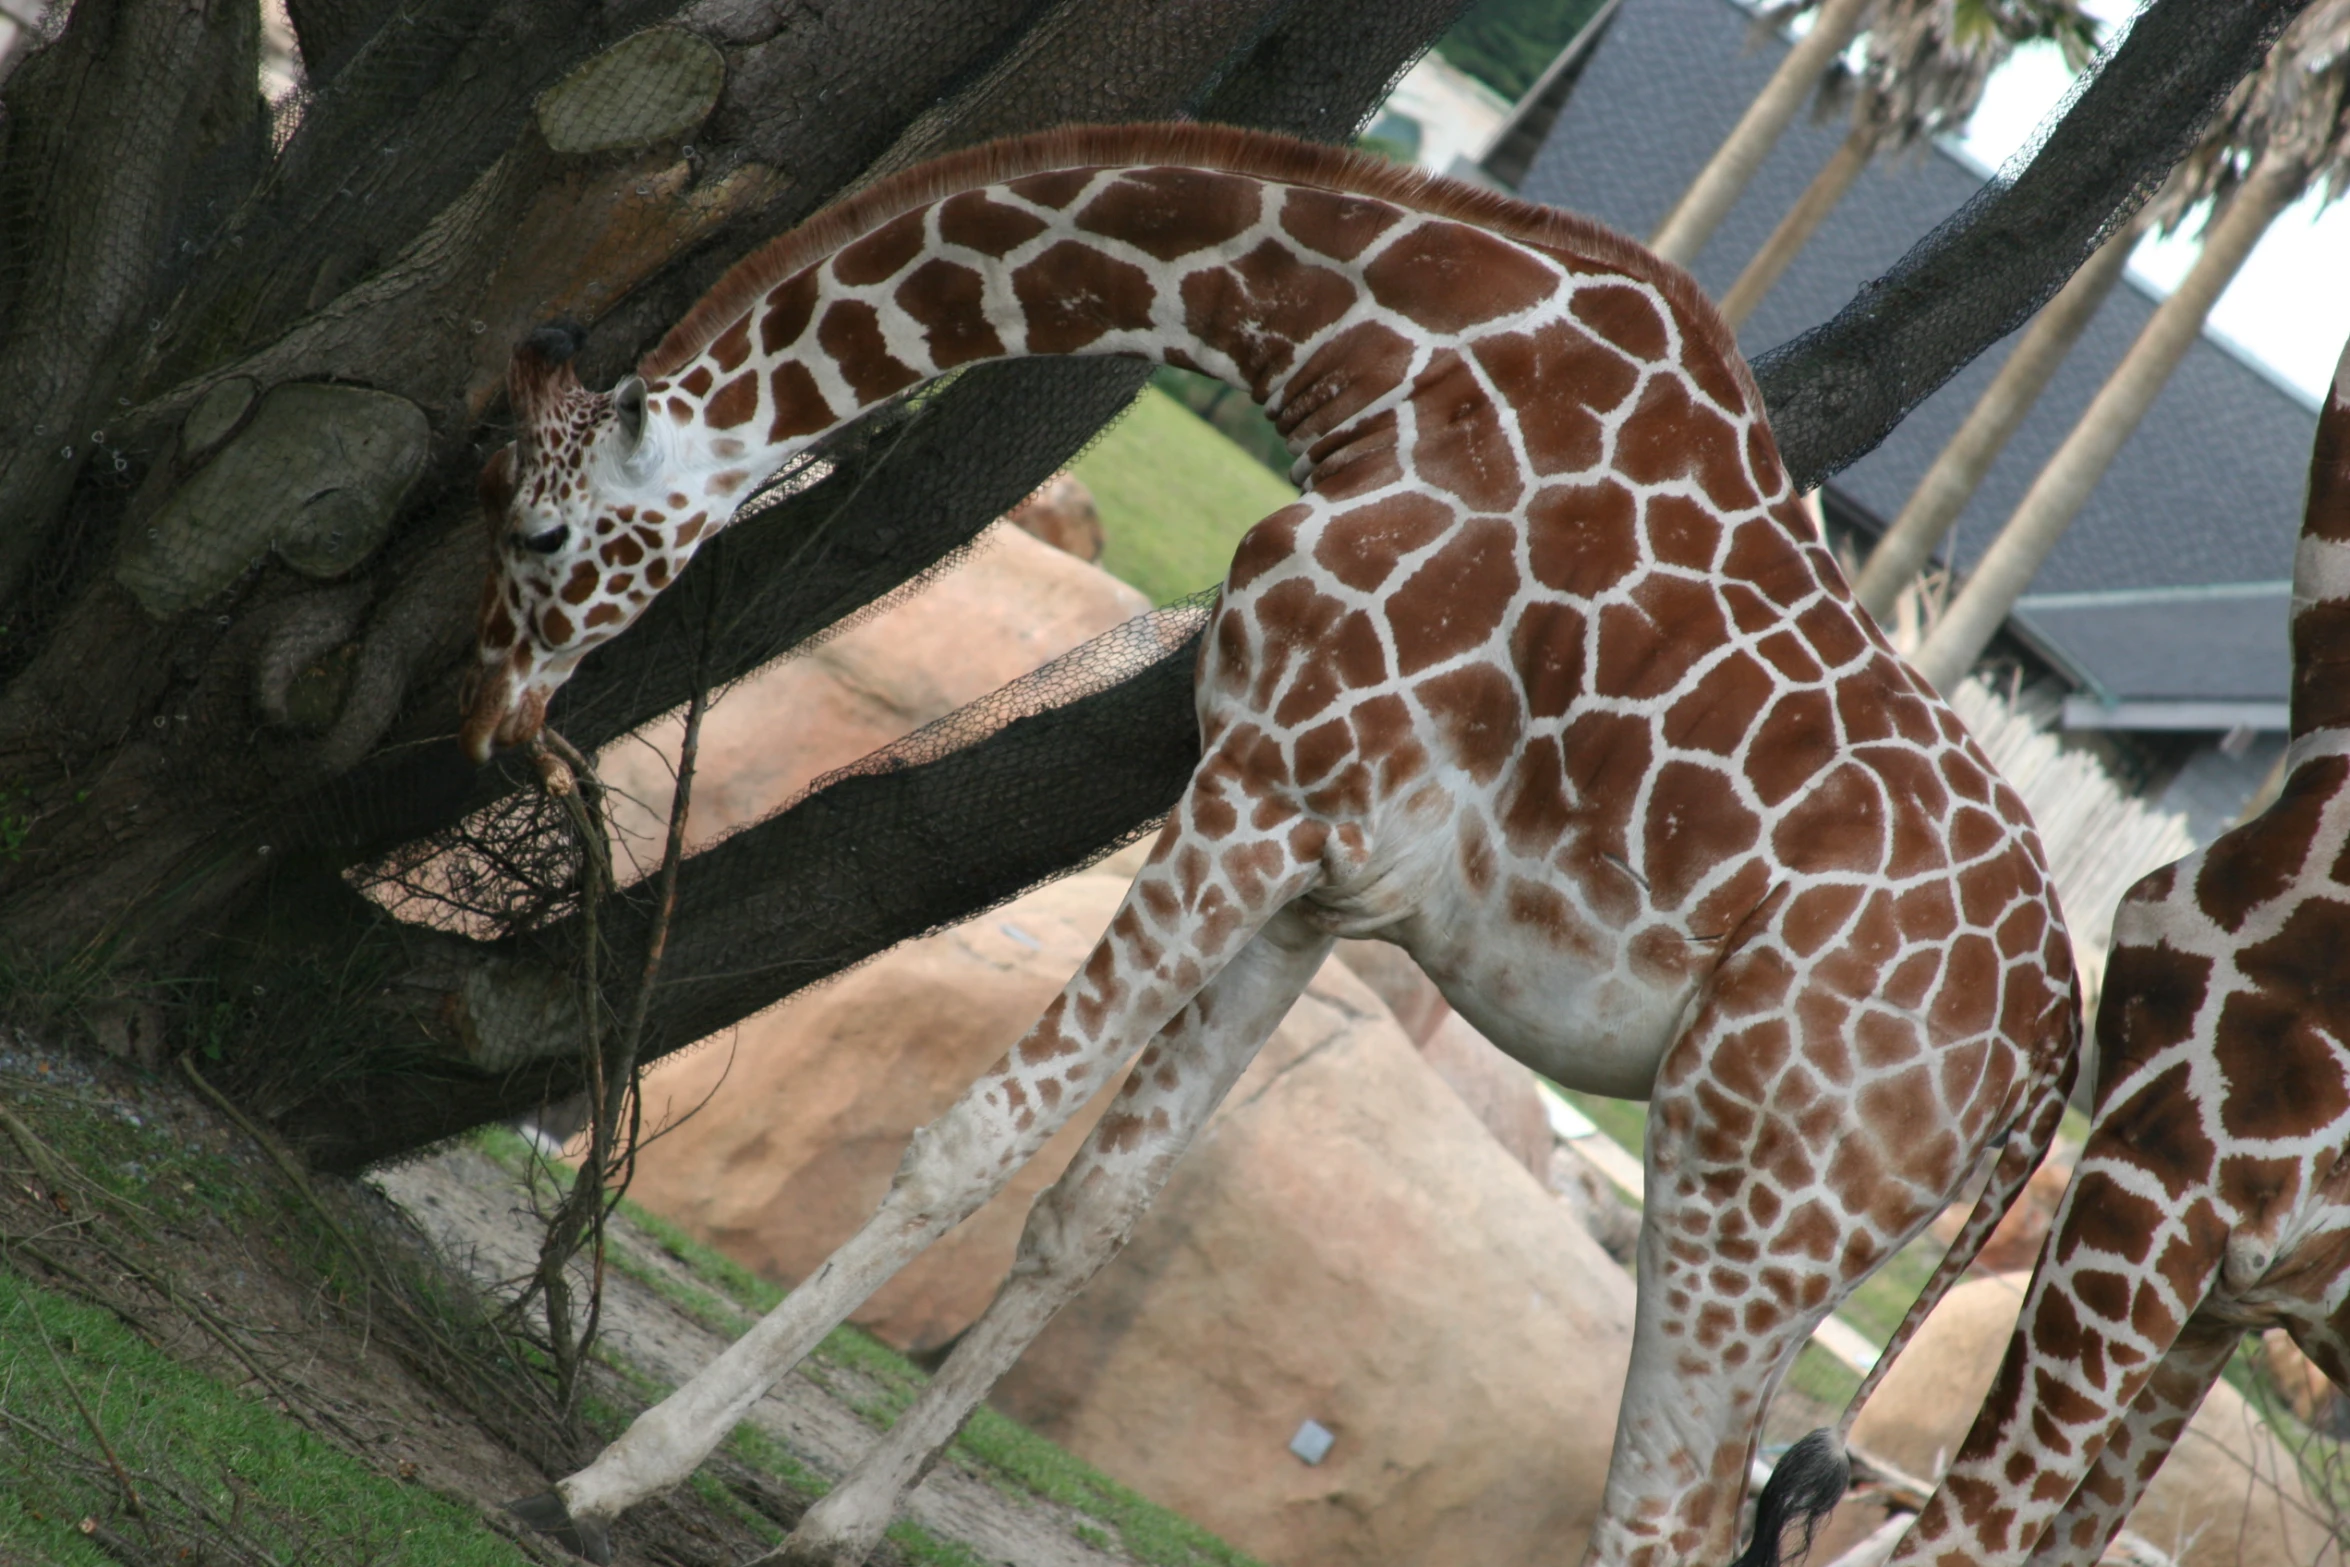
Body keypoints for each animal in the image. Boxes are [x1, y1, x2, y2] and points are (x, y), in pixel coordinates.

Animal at [458, 125, 2077, 1567]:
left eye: (539, 532)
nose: (487, 713)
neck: (1395, 357)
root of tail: (2050, 1054)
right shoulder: (1322, 872)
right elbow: (1093, 1206)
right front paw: (840, 1524)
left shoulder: (1261, 780)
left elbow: (969, 1141)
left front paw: (612, 1475)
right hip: (1808, 1234)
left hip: (1750, 1182)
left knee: (1661, 1517)